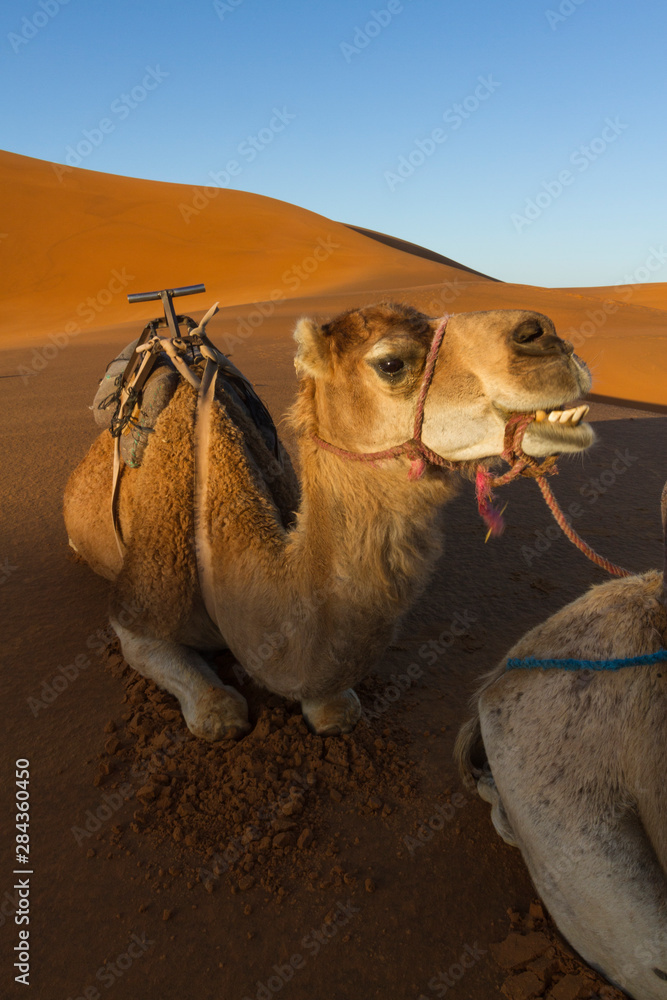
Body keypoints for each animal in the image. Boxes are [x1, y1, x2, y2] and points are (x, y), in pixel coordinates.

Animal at [65, 301, 594, 741]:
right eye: (391, 363)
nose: (546, 336)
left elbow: (334, 710)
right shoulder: (139, 607)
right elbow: (217, 711)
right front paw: (218, 706)